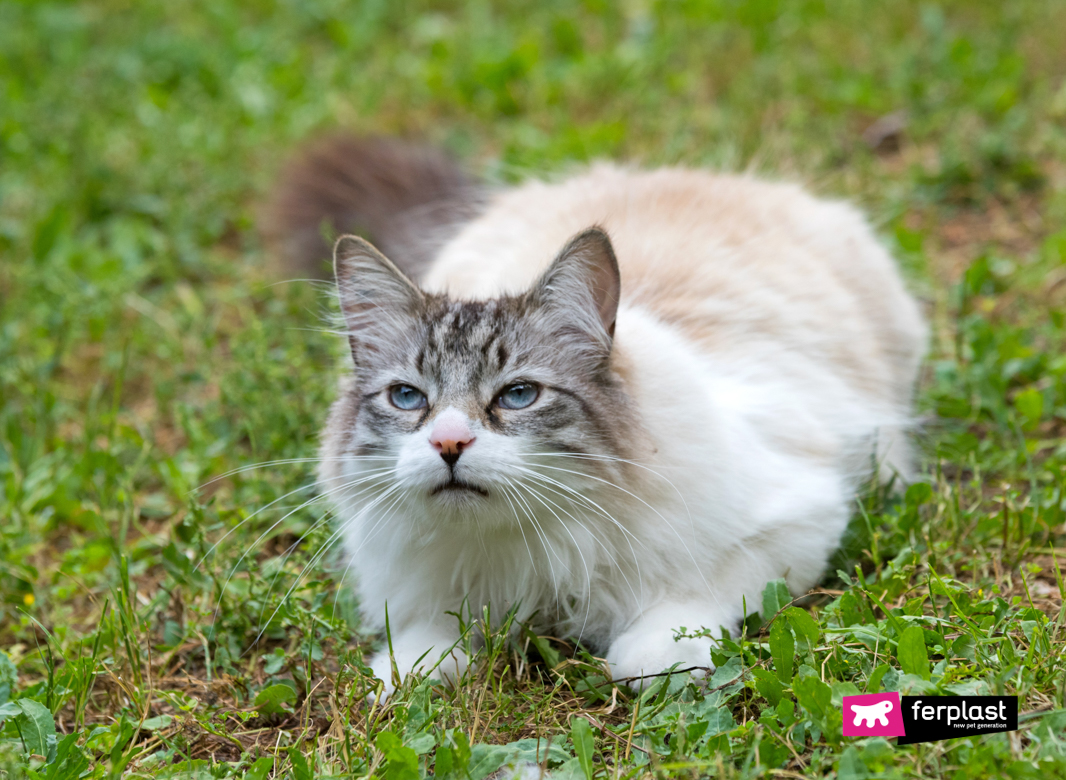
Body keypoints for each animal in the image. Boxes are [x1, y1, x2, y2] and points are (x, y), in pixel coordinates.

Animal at [266, 135, 925, 694]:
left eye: (518, 395)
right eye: (408, 399)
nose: (449, 444)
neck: (526, 554)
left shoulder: (797, 520)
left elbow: (692, 600)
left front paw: (651, 660)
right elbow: (424, 640)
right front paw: (409, 669)